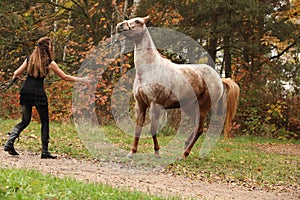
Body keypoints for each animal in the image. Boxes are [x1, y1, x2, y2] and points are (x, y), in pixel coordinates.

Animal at [116, 16, 240, 159]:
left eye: (137, 21)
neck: (149, 69)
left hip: (203, 107)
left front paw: (157, 152)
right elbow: (138, 128)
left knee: (199, 129)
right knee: (195, 127)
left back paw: (185, 154)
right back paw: (185, 147)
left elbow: (153, 129)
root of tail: (219, 79)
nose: (119, 26)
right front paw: (131, 153)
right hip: (190, 108)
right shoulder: (140, 104)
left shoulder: (154, 105)